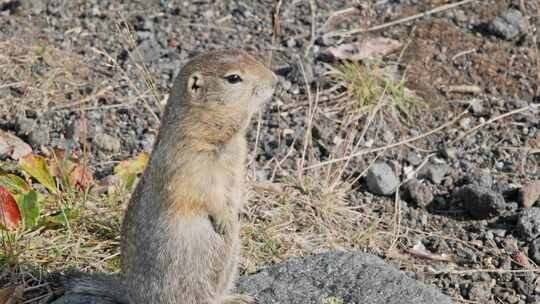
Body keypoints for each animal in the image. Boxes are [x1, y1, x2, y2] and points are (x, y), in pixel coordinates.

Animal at [53, 48, 278, 302]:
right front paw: (224, 219)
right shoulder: (187, 162)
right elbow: (202, 192)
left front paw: (239, 212)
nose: (274, 81)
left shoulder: (237, 162)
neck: (221, 138)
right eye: (233, 78)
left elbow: (236, 187)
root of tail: (128, 291)